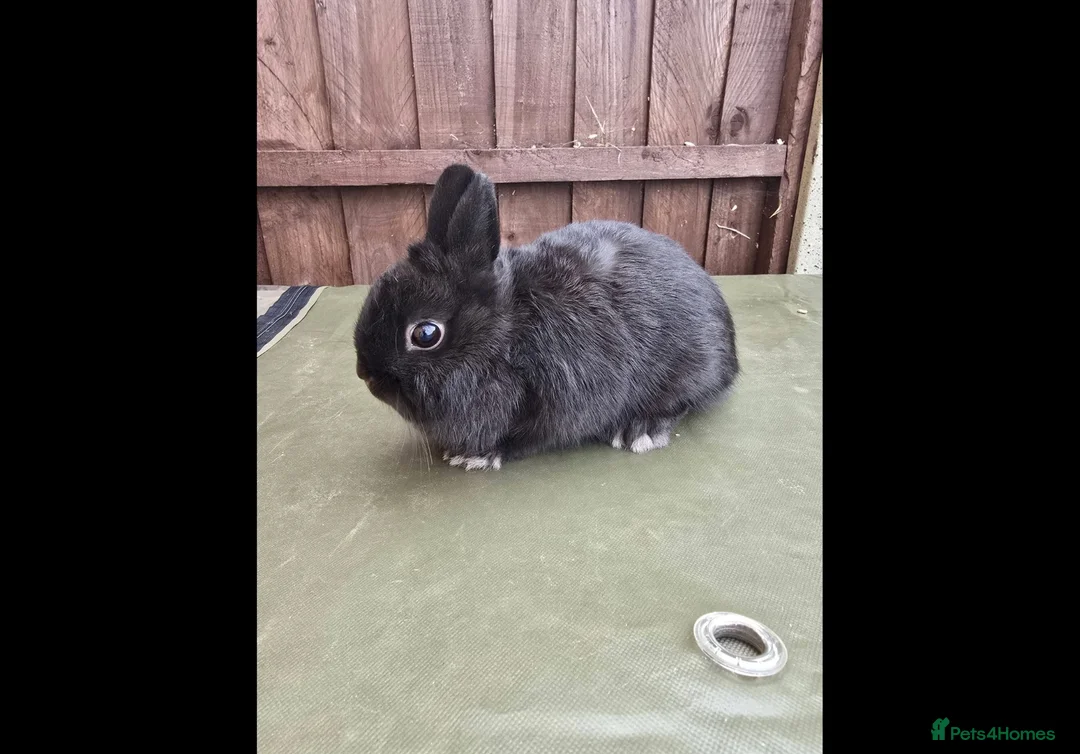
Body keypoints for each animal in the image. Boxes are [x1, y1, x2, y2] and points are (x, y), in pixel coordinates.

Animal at [354, 163, 739, 470]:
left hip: (687, 371)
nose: (366, 376)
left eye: (425, 334)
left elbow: (529, 439)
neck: (508, 332)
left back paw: (641, 430)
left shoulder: (560, 399)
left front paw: (479, 455)